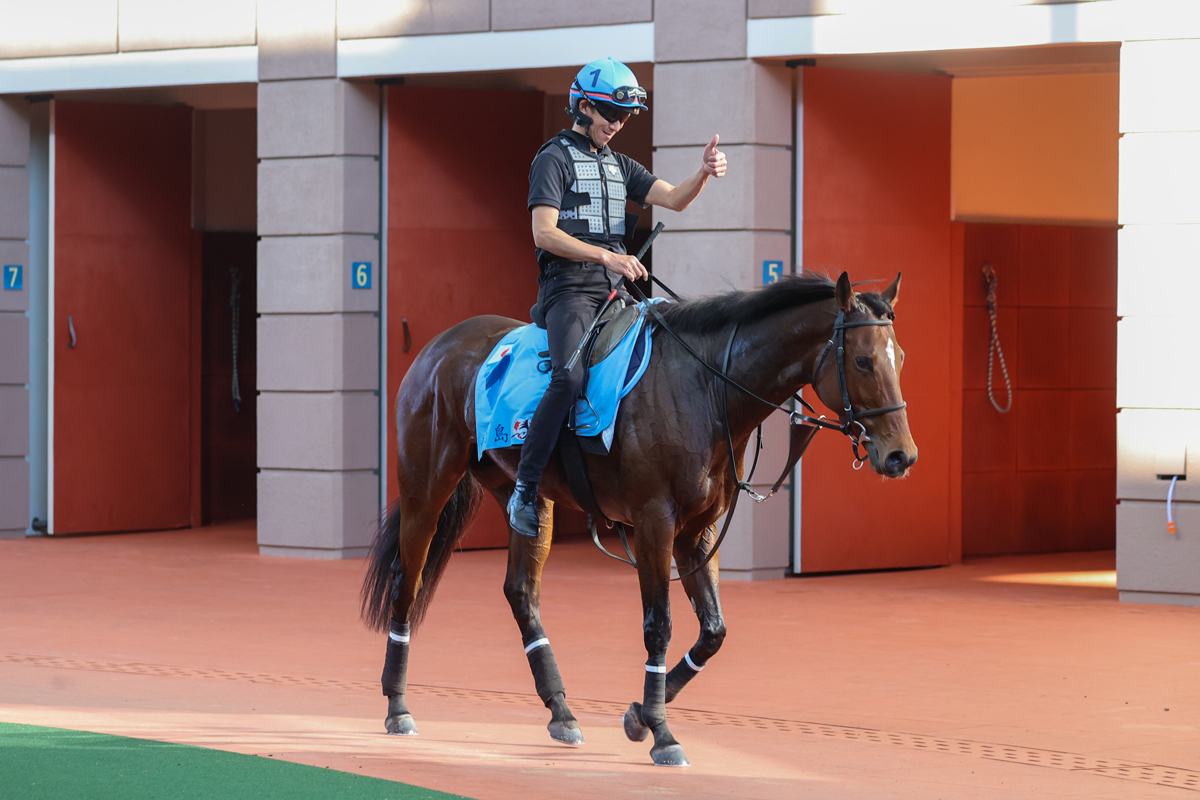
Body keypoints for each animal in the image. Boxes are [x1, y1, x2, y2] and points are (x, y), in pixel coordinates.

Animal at [360, 272, 912, 767]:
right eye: (863, 360)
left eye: (900, 358)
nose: (901, 456)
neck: (704, 388)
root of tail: (440, 345)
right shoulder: (654, 522)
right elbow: (658, 626)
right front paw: (662, 733)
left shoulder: (697, 532)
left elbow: (713, 632)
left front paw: (640, 716)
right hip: (427, 488)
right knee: (407, 583)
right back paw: (398, 705)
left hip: (528, 498)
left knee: (521, 592)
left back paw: (561, 710)